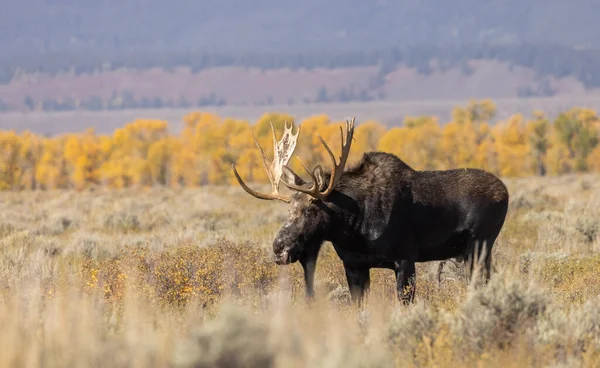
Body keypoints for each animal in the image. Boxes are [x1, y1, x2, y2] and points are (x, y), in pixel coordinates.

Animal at [232, 118, 508, 304]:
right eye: (290, 207)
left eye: (310, 210)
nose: (279, 248)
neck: (353, 229)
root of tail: (505, 191)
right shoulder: (354, 265)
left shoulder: (405, 258)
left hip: (480, 248)